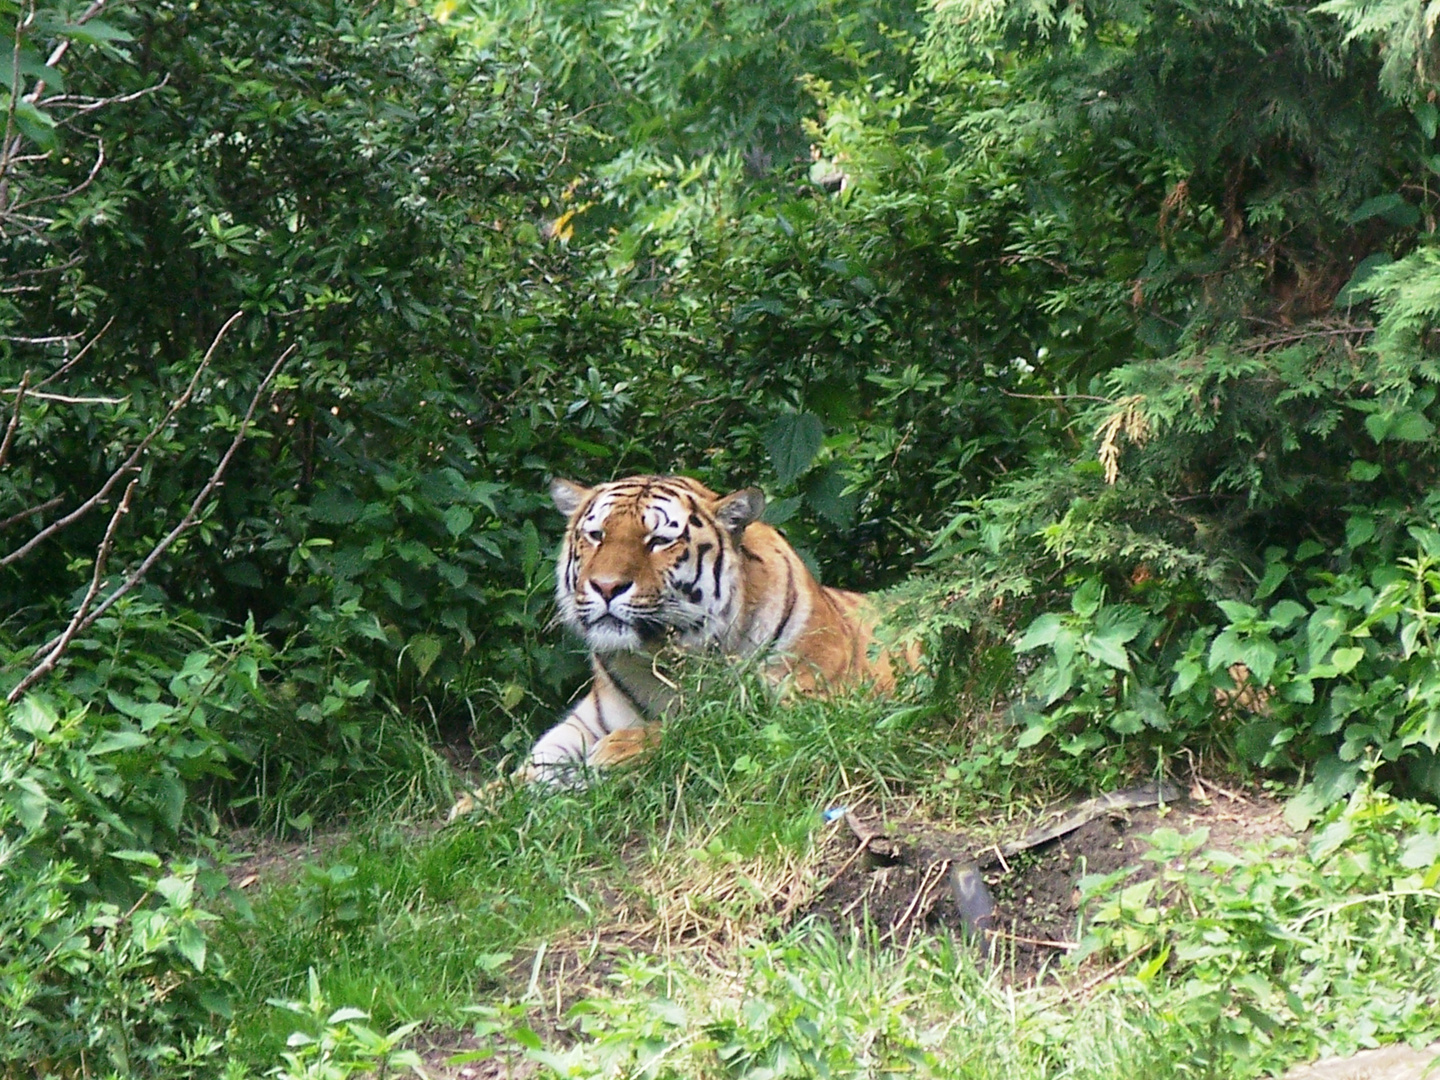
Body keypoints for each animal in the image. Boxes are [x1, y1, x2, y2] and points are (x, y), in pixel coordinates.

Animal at [524, 472, 915, 789]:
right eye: (596, 535)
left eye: (659, 540)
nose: (606, 587)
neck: (661, 662)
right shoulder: (581, 724)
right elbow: (529, 769)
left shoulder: (810, 702)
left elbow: (704, 720)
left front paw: (617, 750)